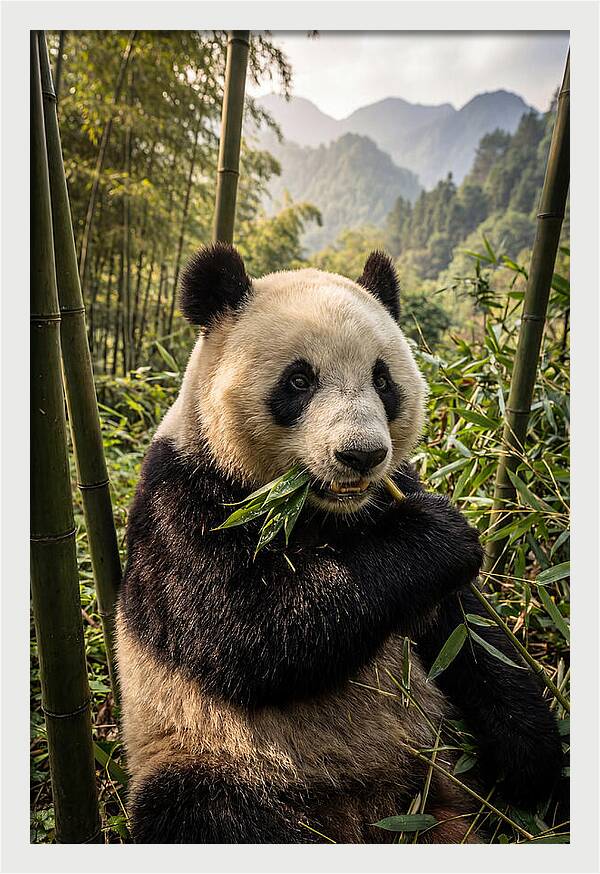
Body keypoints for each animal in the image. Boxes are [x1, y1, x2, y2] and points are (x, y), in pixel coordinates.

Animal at [116, 243, 564, 844]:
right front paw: (437, 536)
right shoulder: (184, 499)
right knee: (203, 813)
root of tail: (370, 814)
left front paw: (532, 760)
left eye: (383, 379)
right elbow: (245, 630)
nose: (361, 455)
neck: (319, 510)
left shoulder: (394, 499)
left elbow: (472, 637)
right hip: (213, 754)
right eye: (299, 381)